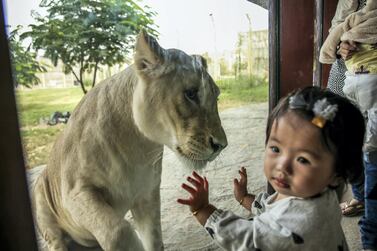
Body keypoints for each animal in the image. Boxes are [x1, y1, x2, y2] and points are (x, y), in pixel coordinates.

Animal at [33, 31, 226, 251]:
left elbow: (155, 240)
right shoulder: (74, 194)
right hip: (42, 198)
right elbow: (118, 230)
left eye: (216, 98)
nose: (221, 145)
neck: (137, 145)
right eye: (191, 93)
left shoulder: (146, 196)